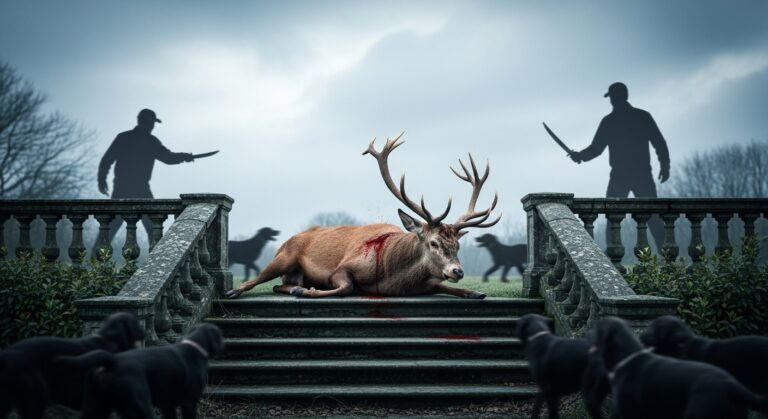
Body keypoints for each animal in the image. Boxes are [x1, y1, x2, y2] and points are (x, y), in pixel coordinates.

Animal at [225, 132, 501, 300]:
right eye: (433, 243)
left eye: (458, 245)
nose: (458, 271)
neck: (394, 279)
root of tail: (289, 238)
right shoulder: (343, 267)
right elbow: (345, 287)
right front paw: (309, 292)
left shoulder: (427, 283)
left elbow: (453, 289)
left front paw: (476, 292)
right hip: (282, 257)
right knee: (259, 279)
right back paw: (239, 291)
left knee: (277, 284)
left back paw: (294, 287)